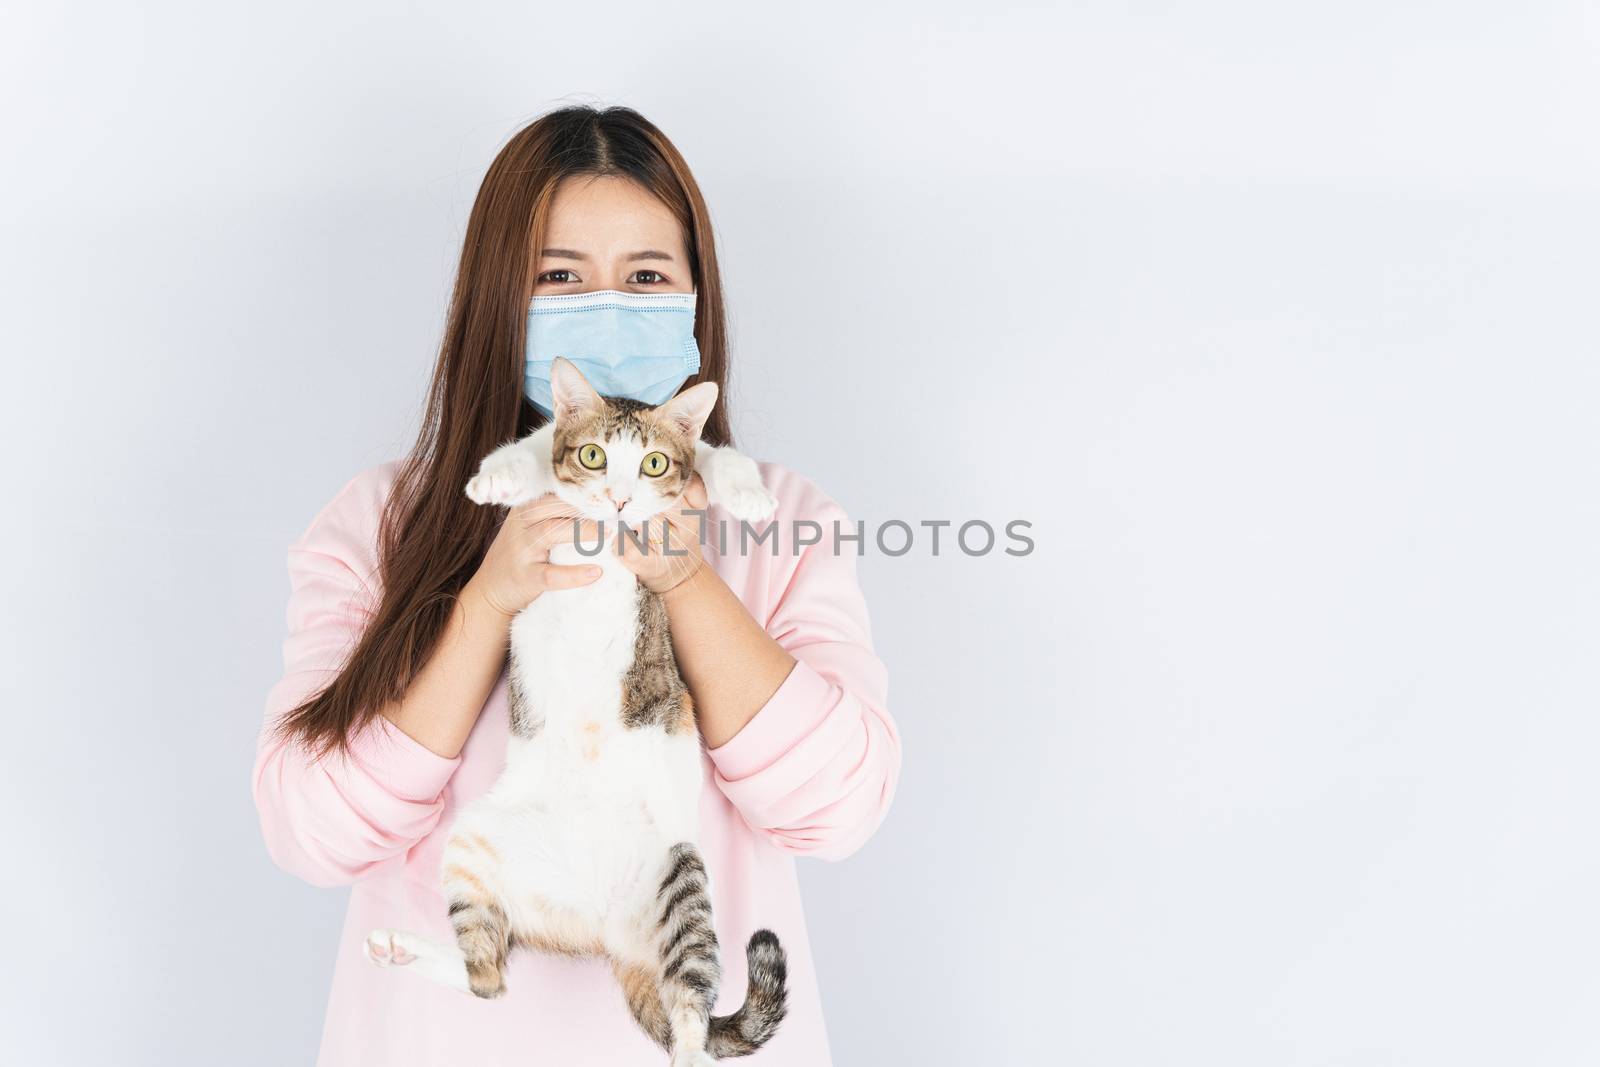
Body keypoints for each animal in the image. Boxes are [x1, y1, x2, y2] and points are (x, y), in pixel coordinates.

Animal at [363, 358, 787, 1067]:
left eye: (651, 463)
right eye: (593, 455)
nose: (616, 499)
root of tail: (602, 930)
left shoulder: (691, 467)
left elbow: (714, 457)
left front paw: (747, 493)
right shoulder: (549, 457)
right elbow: (529, 451)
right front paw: (495, 477)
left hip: (680, 874)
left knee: (691, 1010)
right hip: (474, 844)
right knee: (489, 979)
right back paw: (402, 947)